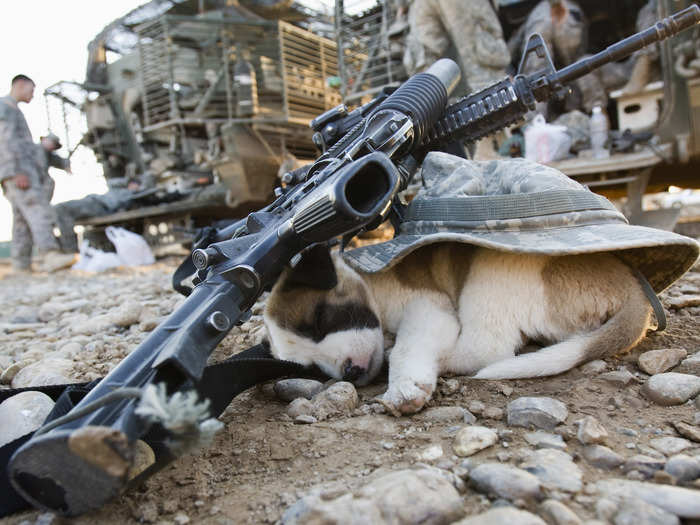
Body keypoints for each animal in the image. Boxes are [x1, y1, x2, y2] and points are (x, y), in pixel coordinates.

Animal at [264, 244, 652, 416]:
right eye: (311, 368)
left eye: (320, 319)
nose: (350, 373)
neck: (369, 279)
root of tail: (631, 285)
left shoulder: (427, 306)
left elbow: (408, 347)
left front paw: (405, 386)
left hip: (492, 269)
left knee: (486, 350)